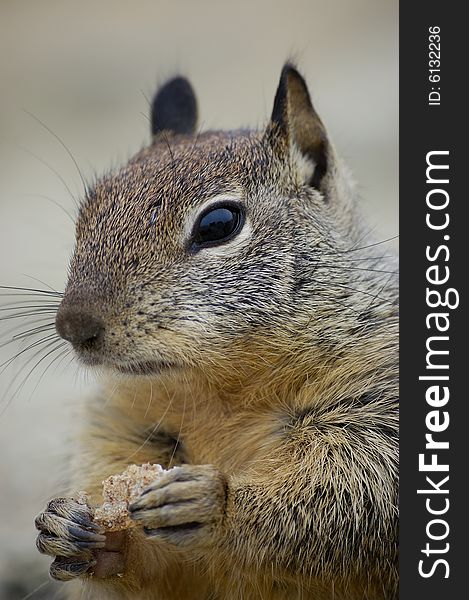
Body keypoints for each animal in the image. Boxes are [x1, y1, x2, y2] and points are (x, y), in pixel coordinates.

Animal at [34, 63, 396, 596]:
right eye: (87, 213)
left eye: (219, 224)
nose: (74, 327)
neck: (221, 392)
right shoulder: (121, 424)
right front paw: (81, 531)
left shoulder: (378, 409)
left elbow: (352, 493)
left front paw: (213, 504)